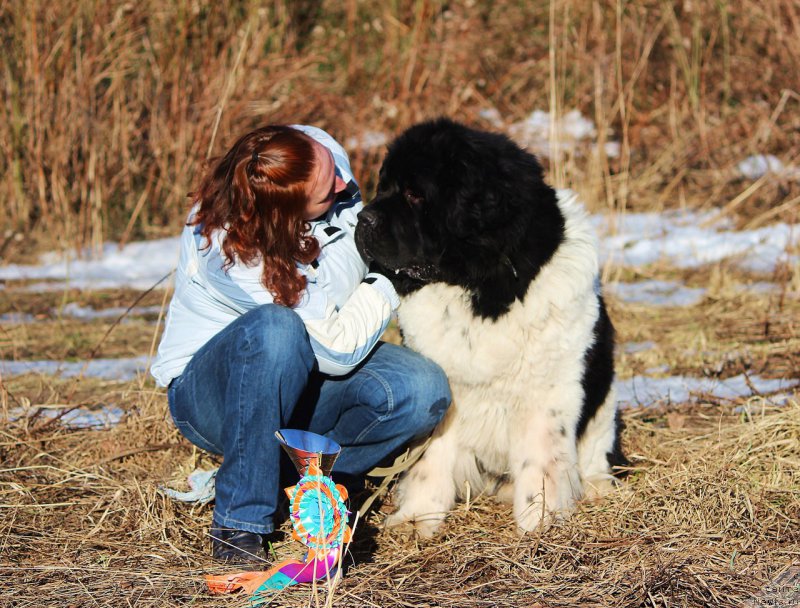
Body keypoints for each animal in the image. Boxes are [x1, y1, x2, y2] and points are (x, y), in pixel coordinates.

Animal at [354, 116, 624, 536]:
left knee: (594, 450)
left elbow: (541, 460)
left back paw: (596, 488)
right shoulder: (445, 389)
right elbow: (429, 460)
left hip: (605, 400)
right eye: (384, 187)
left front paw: (539, 520)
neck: (479, 283)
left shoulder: (547, 391)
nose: (362, 218)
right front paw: (417, 517)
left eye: (415, 195)